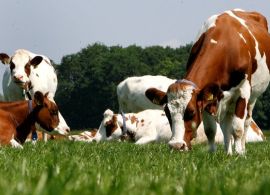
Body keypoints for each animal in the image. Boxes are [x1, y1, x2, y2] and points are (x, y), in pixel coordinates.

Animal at [146, 9, 270, 155]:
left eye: (191, 112)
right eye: (167, 112)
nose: (176, 146)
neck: (225, 46)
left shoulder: (243, 90)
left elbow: (237, 128)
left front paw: (239, 154)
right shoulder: (206, 97)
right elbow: (210, 130)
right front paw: (212, 153)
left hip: (252, 97)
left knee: (246, 122)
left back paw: (241, 150)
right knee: (226, 125)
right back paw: (228, 153)